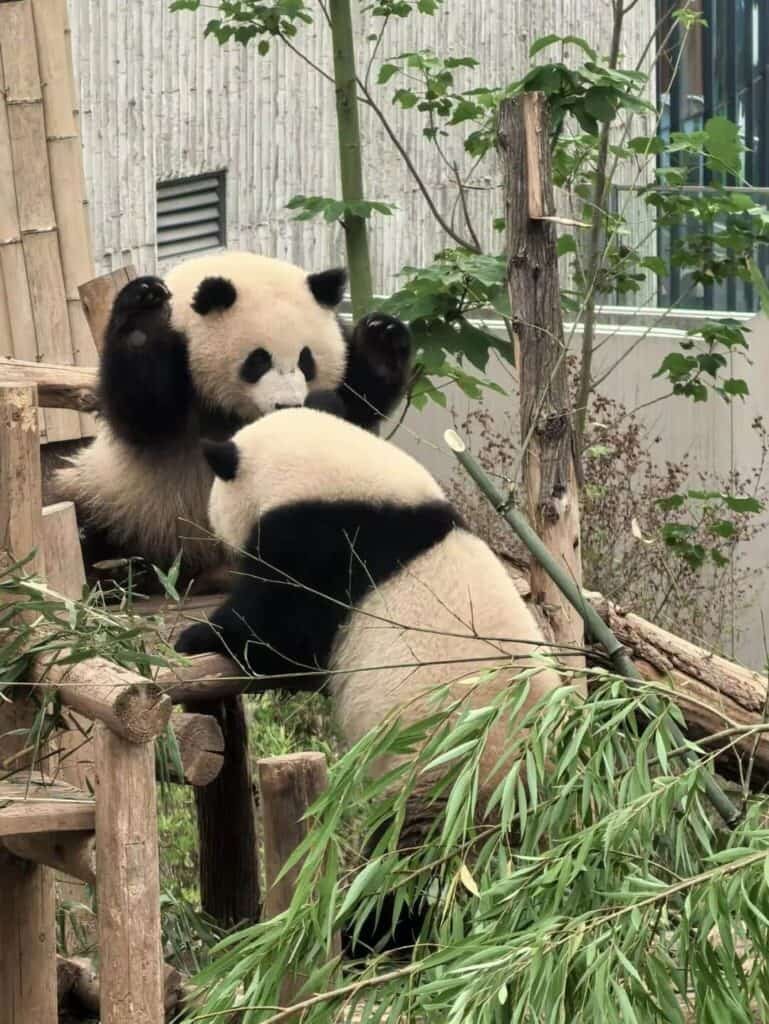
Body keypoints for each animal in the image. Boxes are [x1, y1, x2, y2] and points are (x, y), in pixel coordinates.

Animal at [54, 251, 412, 591]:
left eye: (306, 360)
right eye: (258, 360)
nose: (287, 404)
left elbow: (356, 406)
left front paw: (382, 339)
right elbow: (144, 411)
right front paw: (145, 305)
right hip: (118, 500)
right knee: (79, 515)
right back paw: (118, 570)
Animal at [174, 402, 564, 951]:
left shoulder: (325, 545)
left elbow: (282, 634)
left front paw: (196, 636)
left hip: (442, 785)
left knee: (408, 874)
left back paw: (366, 933)